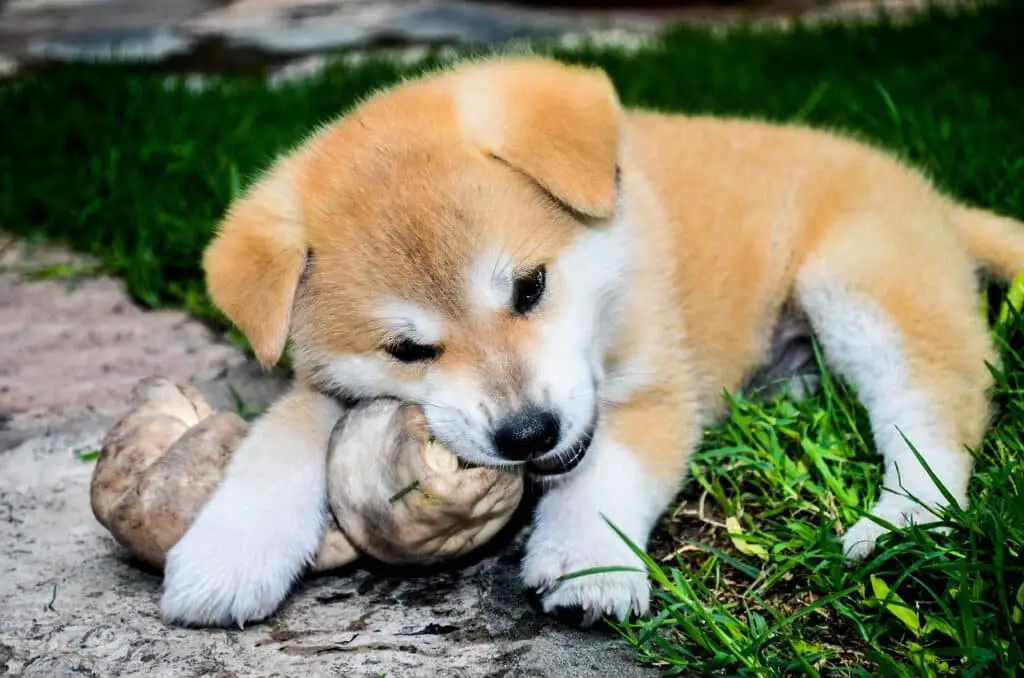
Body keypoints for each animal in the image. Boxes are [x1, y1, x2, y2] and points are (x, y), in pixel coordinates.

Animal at [159, 55, 1024, 630]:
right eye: (407, 351)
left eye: (529, 287)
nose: (526, 434)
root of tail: (935, 200)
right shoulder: (324, 388)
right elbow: (277, 444)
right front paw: (228, 553)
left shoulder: (655, 387)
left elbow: (608, 469)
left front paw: (584, 560)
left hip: (862, 284)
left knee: (935, 415)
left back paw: (900, 521)